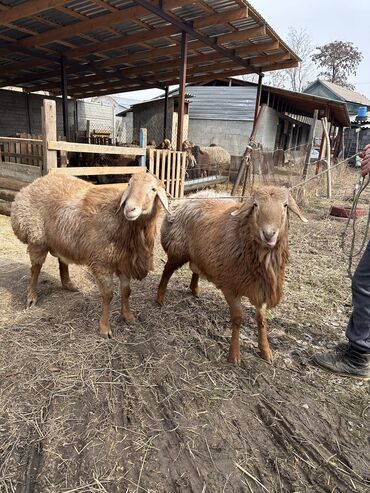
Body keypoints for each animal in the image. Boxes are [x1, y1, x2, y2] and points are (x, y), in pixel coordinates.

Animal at [10, 172, 168, 338]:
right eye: (129, 185)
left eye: (153, 189)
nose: (130, 209)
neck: (122, 222)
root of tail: (33, 184)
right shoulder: (101, 262)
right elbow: (108, 295)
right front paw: (104, 328)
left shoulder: (124, 263)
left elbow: (126, 292)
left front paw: (128, 316)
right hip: (36, 237)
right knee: (36, 268)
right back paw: (31, 296)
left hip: (63, 238)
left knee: (61, 259)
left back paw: (68, 284)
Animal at [156, 186, 306, 364]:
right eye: (255, 205)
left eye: (285, 205)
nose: (269, 234)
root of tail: (189, 197)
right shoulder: (231, 287)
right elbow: (238, 319)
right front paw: (234, 354)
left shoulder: (260, 287)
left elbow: (261, 320)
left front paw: (265, 350)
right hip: (178, 249)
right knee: (167, 271)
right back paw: (160, 297)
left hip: (200, 253)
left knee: (195, 268)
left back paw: (194, 289)